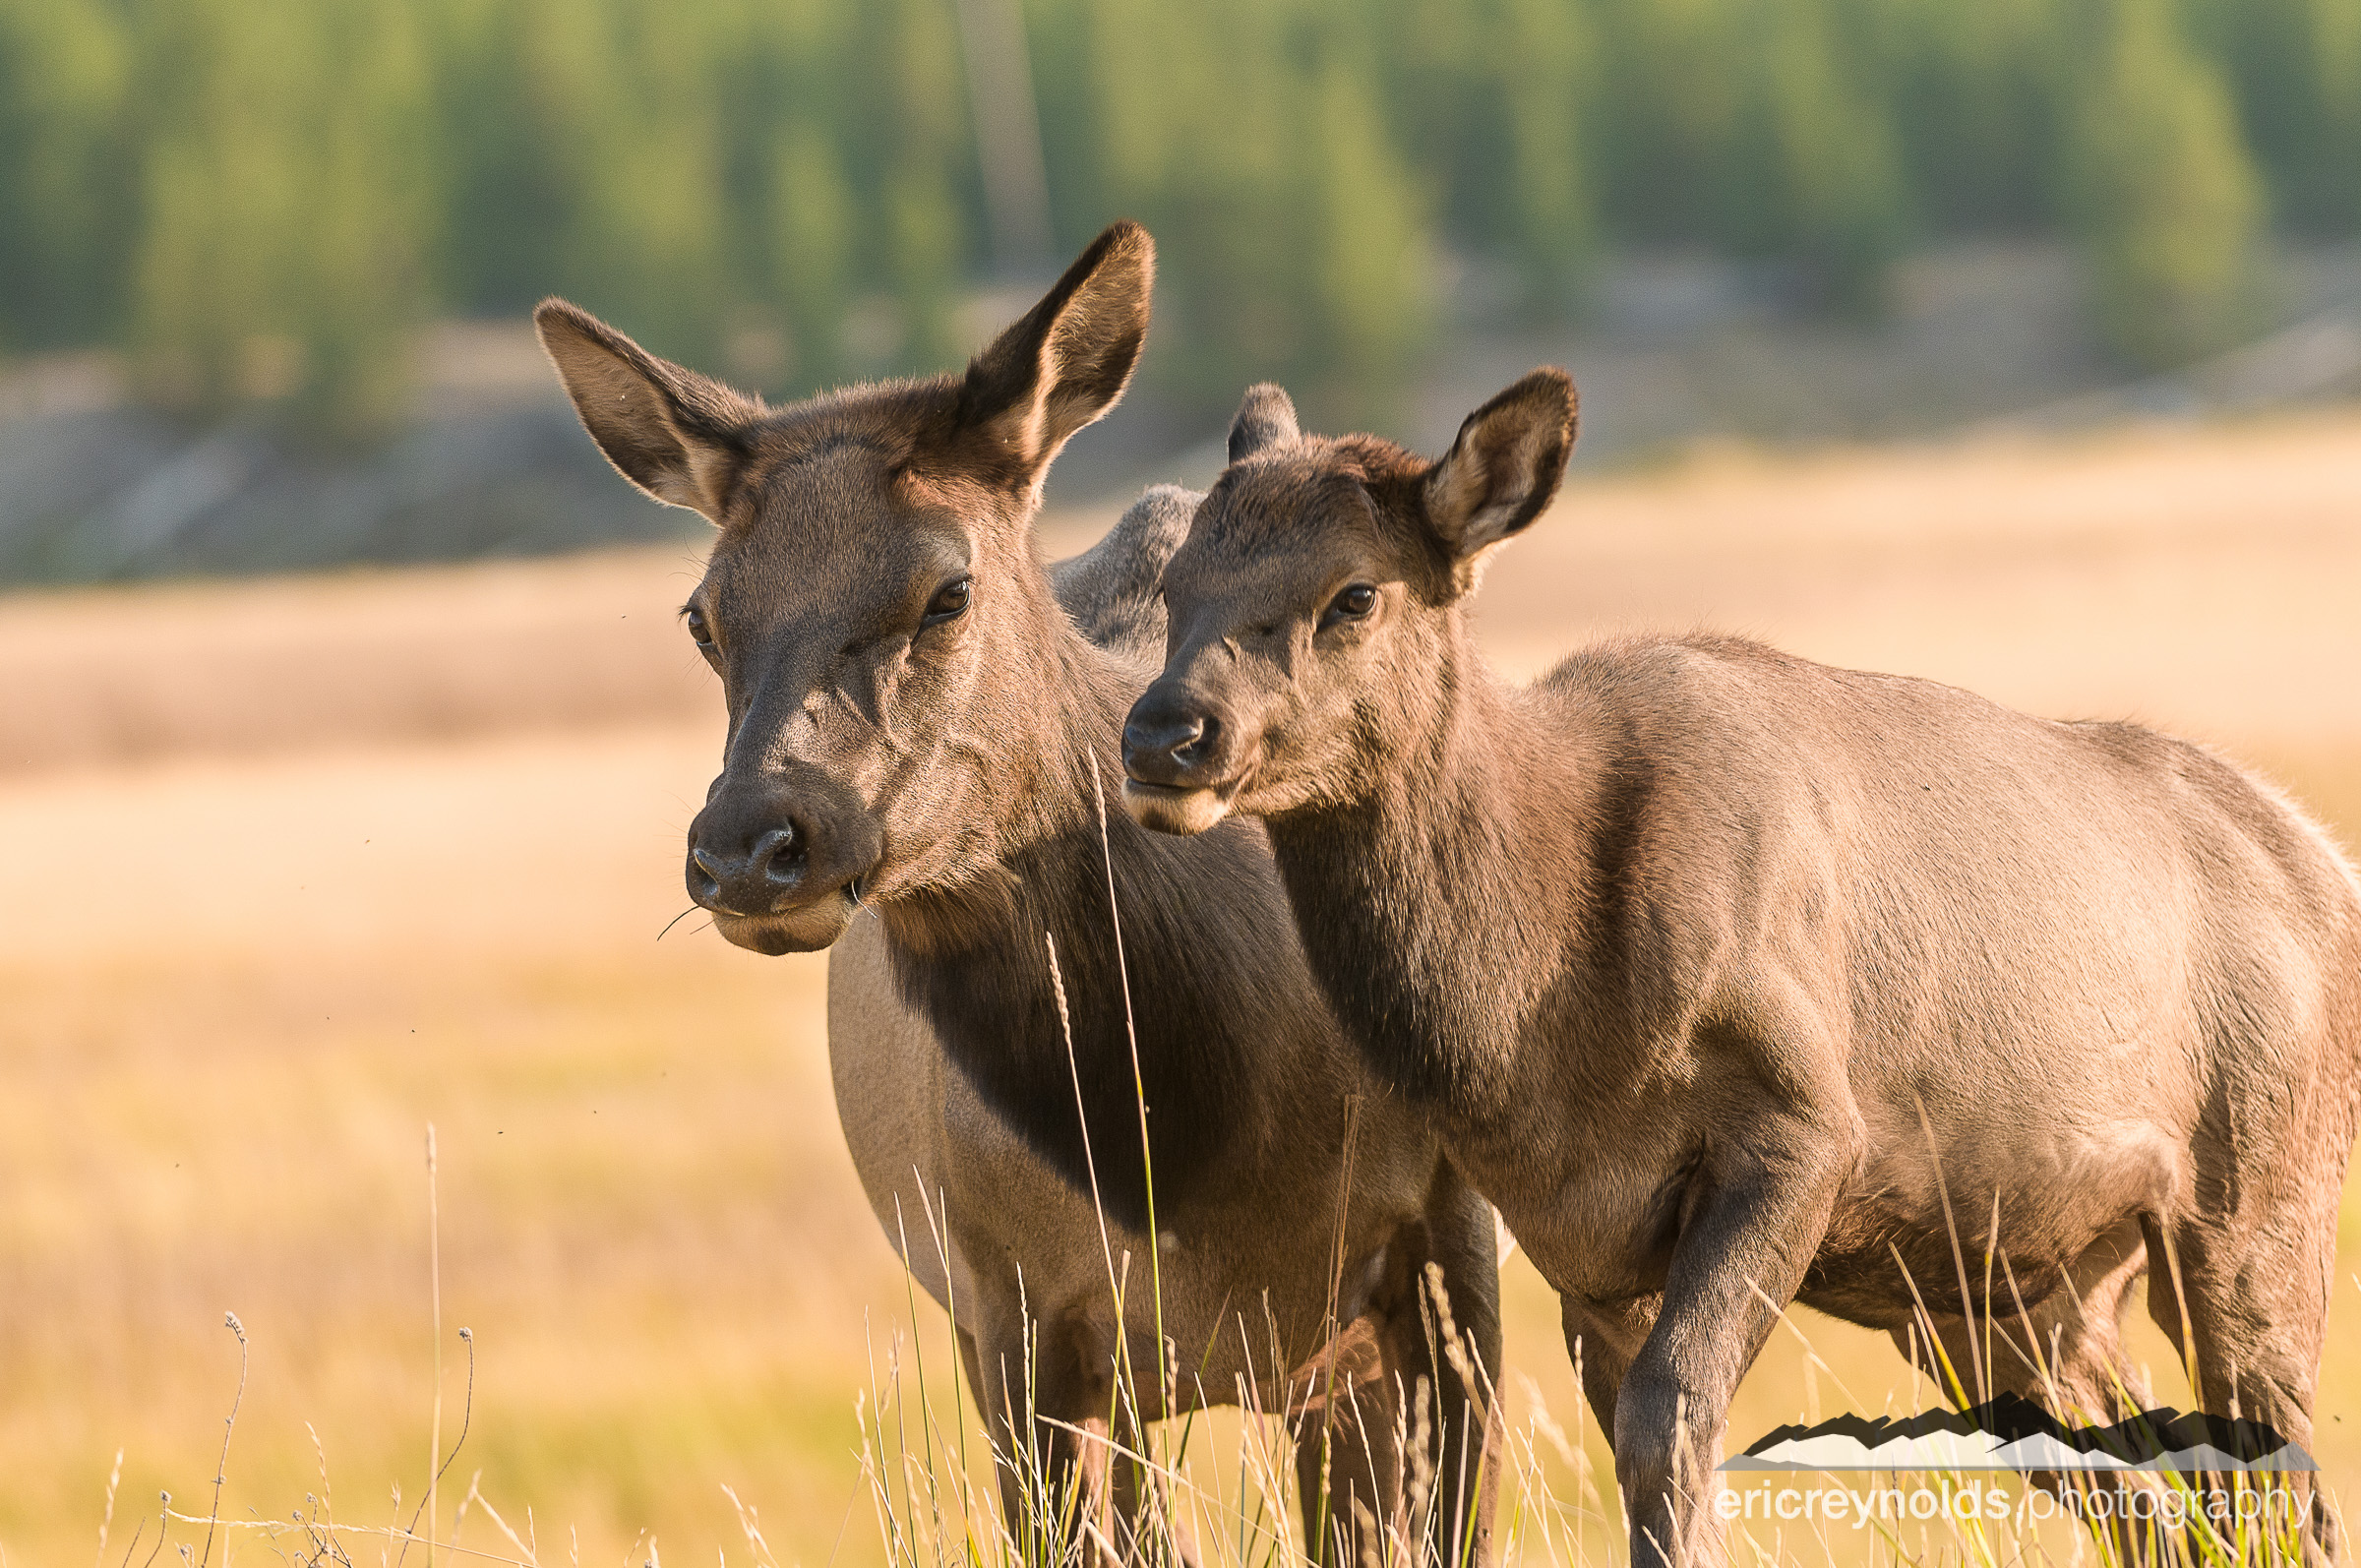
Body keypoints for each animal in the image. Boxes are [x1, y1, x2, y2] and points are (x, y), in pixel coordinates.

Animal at [1119, 373, 2361, 1558]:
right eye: (1177, 583)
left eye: (1356, 594)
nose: (1164, 733)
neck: (1534, 1015)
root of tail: (2327, 866)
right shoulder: (1581, 1234)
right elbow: (1637, 1429)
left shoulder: (1803, 1122)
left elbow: (1672, 1416)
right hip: (2015, 1291)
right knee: (2168, 1501)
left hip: (2258, 1192)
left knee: (2282, 1485)